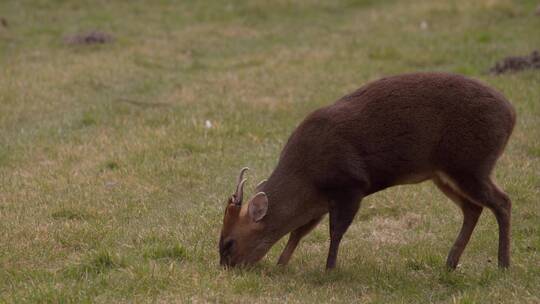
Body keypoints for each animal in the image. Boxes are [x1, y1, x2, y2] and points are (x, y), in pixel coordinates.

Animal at [218, 72, 516, 270]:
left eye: (228, 244)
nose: (226, 267)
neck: (306, 177)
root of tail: (511, 115)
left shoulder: (351, 184)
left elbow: (335, 231)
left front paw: (329, 268)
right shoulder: (320, 202)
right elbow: (298, 233)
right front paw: (281, 264)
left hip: (471, 163)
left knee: (502, 201)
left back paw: (503, 263)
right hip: (444, 174)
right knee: (473, 208)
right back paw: (451, 262)